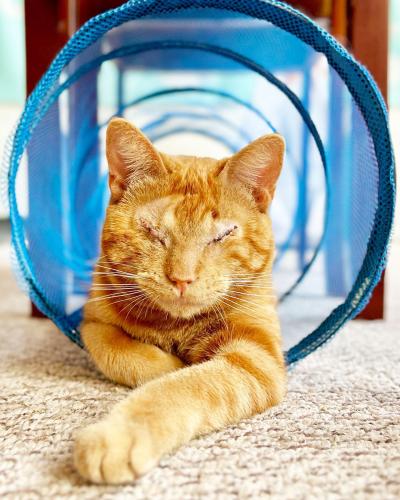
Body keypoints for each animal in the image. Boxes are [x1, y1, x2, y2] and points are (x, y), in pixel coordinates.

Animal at [74, 118, 288, 484]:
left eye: (222, 235)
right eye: (152, 231)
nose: (182, 279)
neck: (174, 325)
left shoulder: (257, 355)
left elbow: (185, 386)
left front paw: (119, 435)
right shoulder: (93, 322)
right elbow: (120, 352)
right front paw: (170, 364)